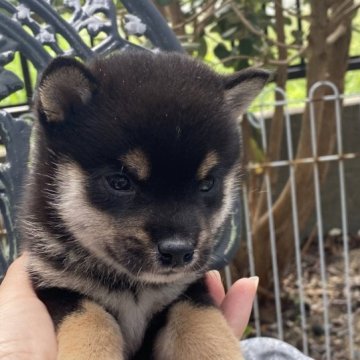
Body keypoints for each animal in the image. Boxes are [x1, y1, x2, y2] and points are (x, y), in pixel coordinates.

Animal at [19, 51, 268, 360]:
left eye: (208, 183)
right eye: (120, 182)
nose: (178, 252)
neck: (133, 286)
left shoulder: (186, 290)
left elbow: (203, 324)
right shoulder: (57, 287)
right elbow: (91, 321)